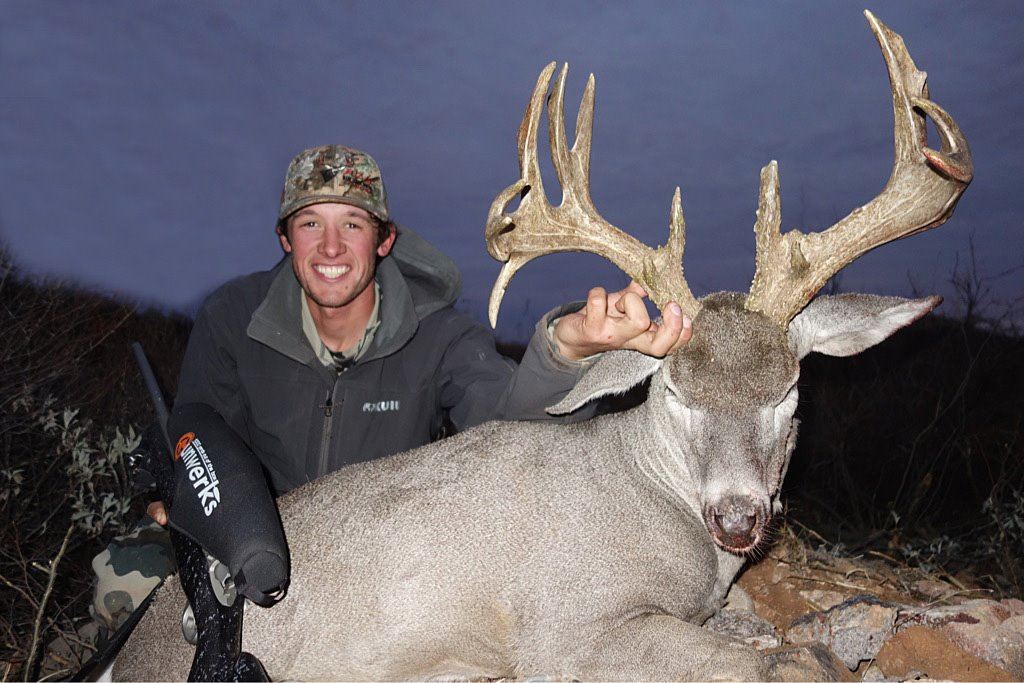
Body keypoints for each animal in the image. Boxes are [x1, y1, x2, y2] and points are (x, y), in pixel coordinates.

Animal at [113, 10, 971, 681]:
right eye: (674, 390)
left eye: (790, 390)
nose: (738, 518)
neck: (655, 499)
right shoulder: (570, 627)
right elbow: (762, 662)